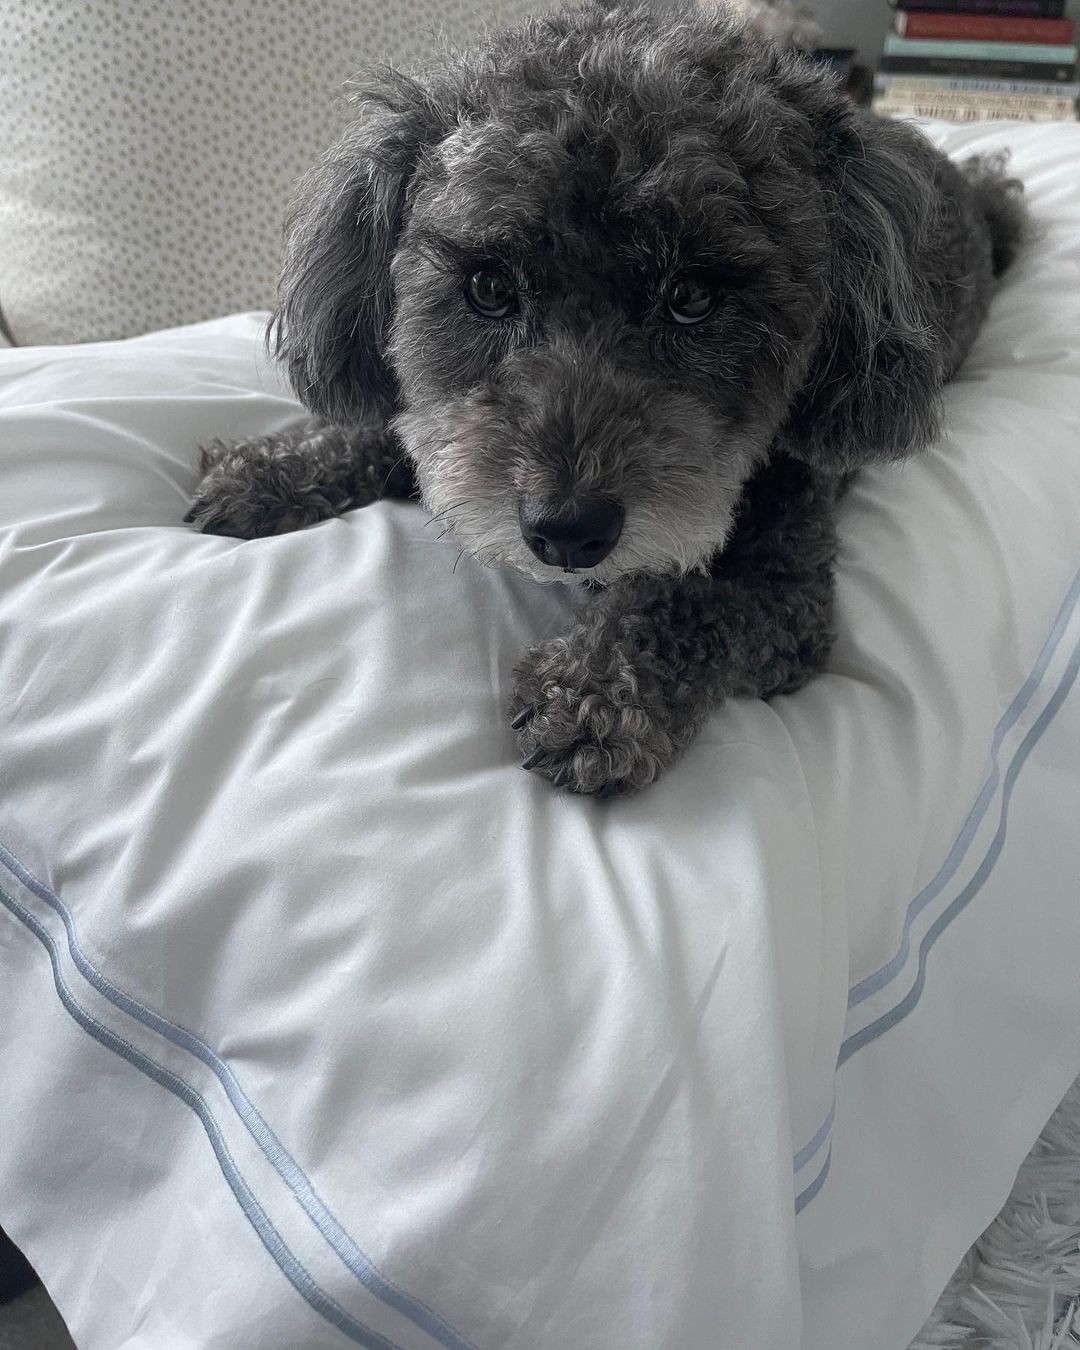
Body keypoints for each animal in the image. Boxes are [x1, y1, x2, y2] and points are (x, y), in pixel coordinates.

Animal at [186, 0, 1027, 798]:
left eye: (692, 298)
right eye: (489, 288)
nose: (566, 530)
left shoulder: (790, 602)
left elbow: (684, 602)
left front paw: (596, 696)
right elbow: (394, 426)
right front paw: (272, 469)